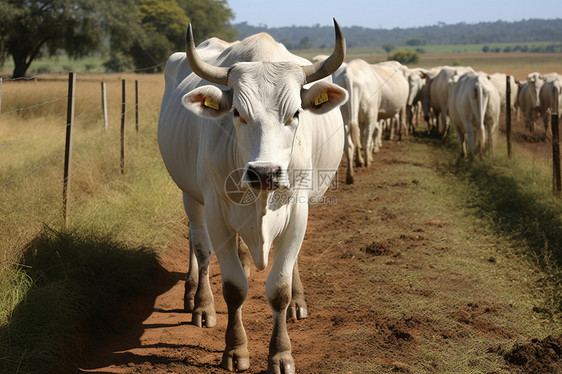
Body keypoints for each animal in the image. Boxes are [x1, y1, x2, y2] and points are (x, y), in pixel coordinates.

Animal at [158, 21, 348, 374]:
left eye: (296, 113)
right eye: (237, 112)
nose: (265, 173)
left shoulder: (298, 211)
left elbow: (279, 288)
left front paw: (281, 353)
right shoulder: (215, 209)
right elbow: (233, 287)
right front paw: (235, 349)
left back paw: (297, 302)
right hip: (190, 196)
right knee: (199, 247)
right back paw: (198, 302)